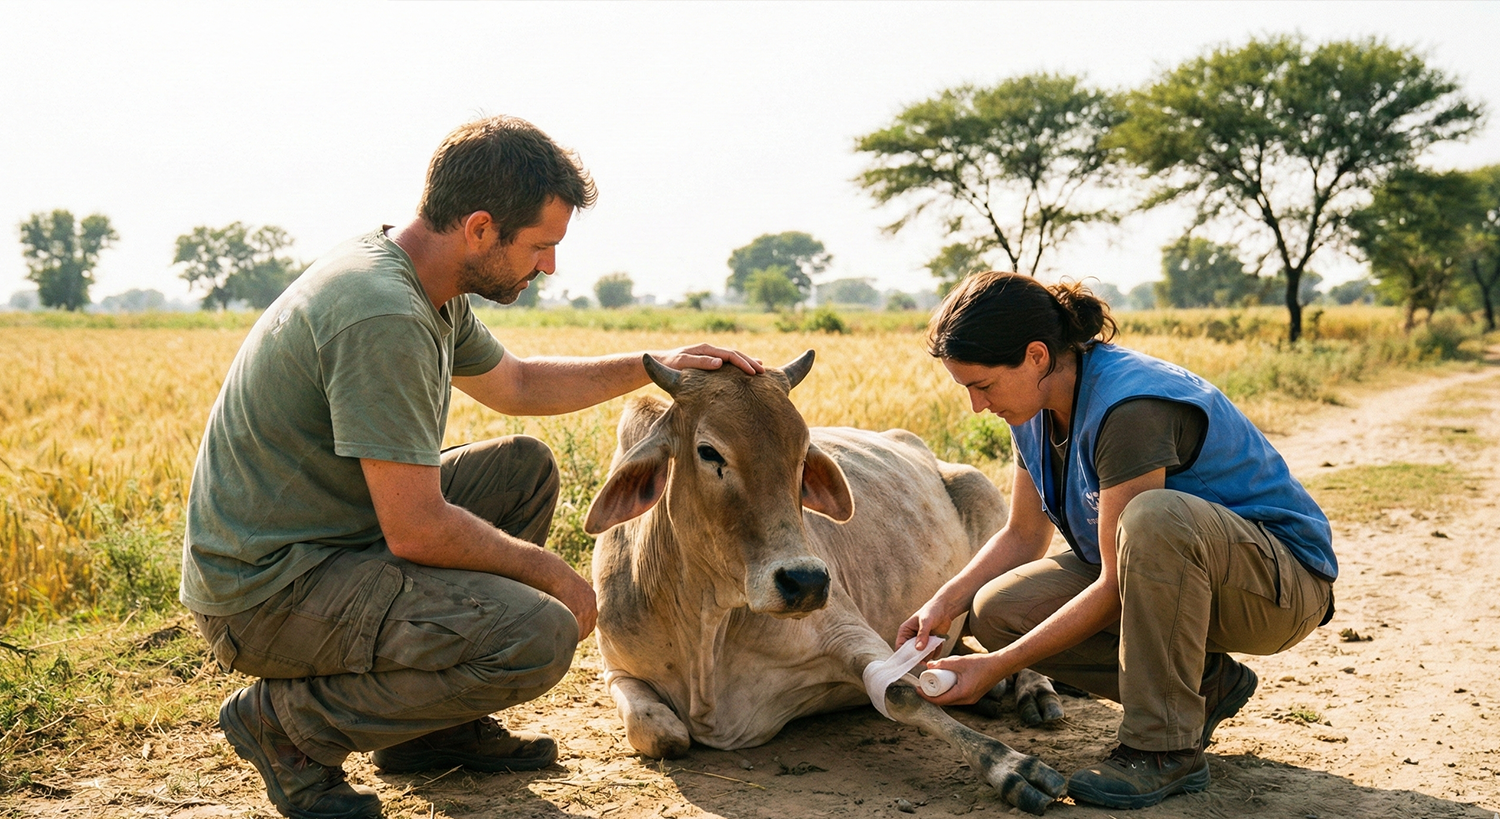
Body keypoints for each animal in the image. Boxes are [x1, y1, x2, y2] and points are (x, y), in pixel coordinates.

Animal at [582, 351, 1068, 815]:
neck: (706, 623)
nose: (806, 581)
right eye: (709, 452)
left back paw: (1034, 691)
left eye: (803, 456)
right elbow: (660, 731)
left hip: (997, 514)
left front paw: (1012, 767)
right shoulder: (616, 669)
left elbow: (902, 694)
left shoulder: (847, 631)